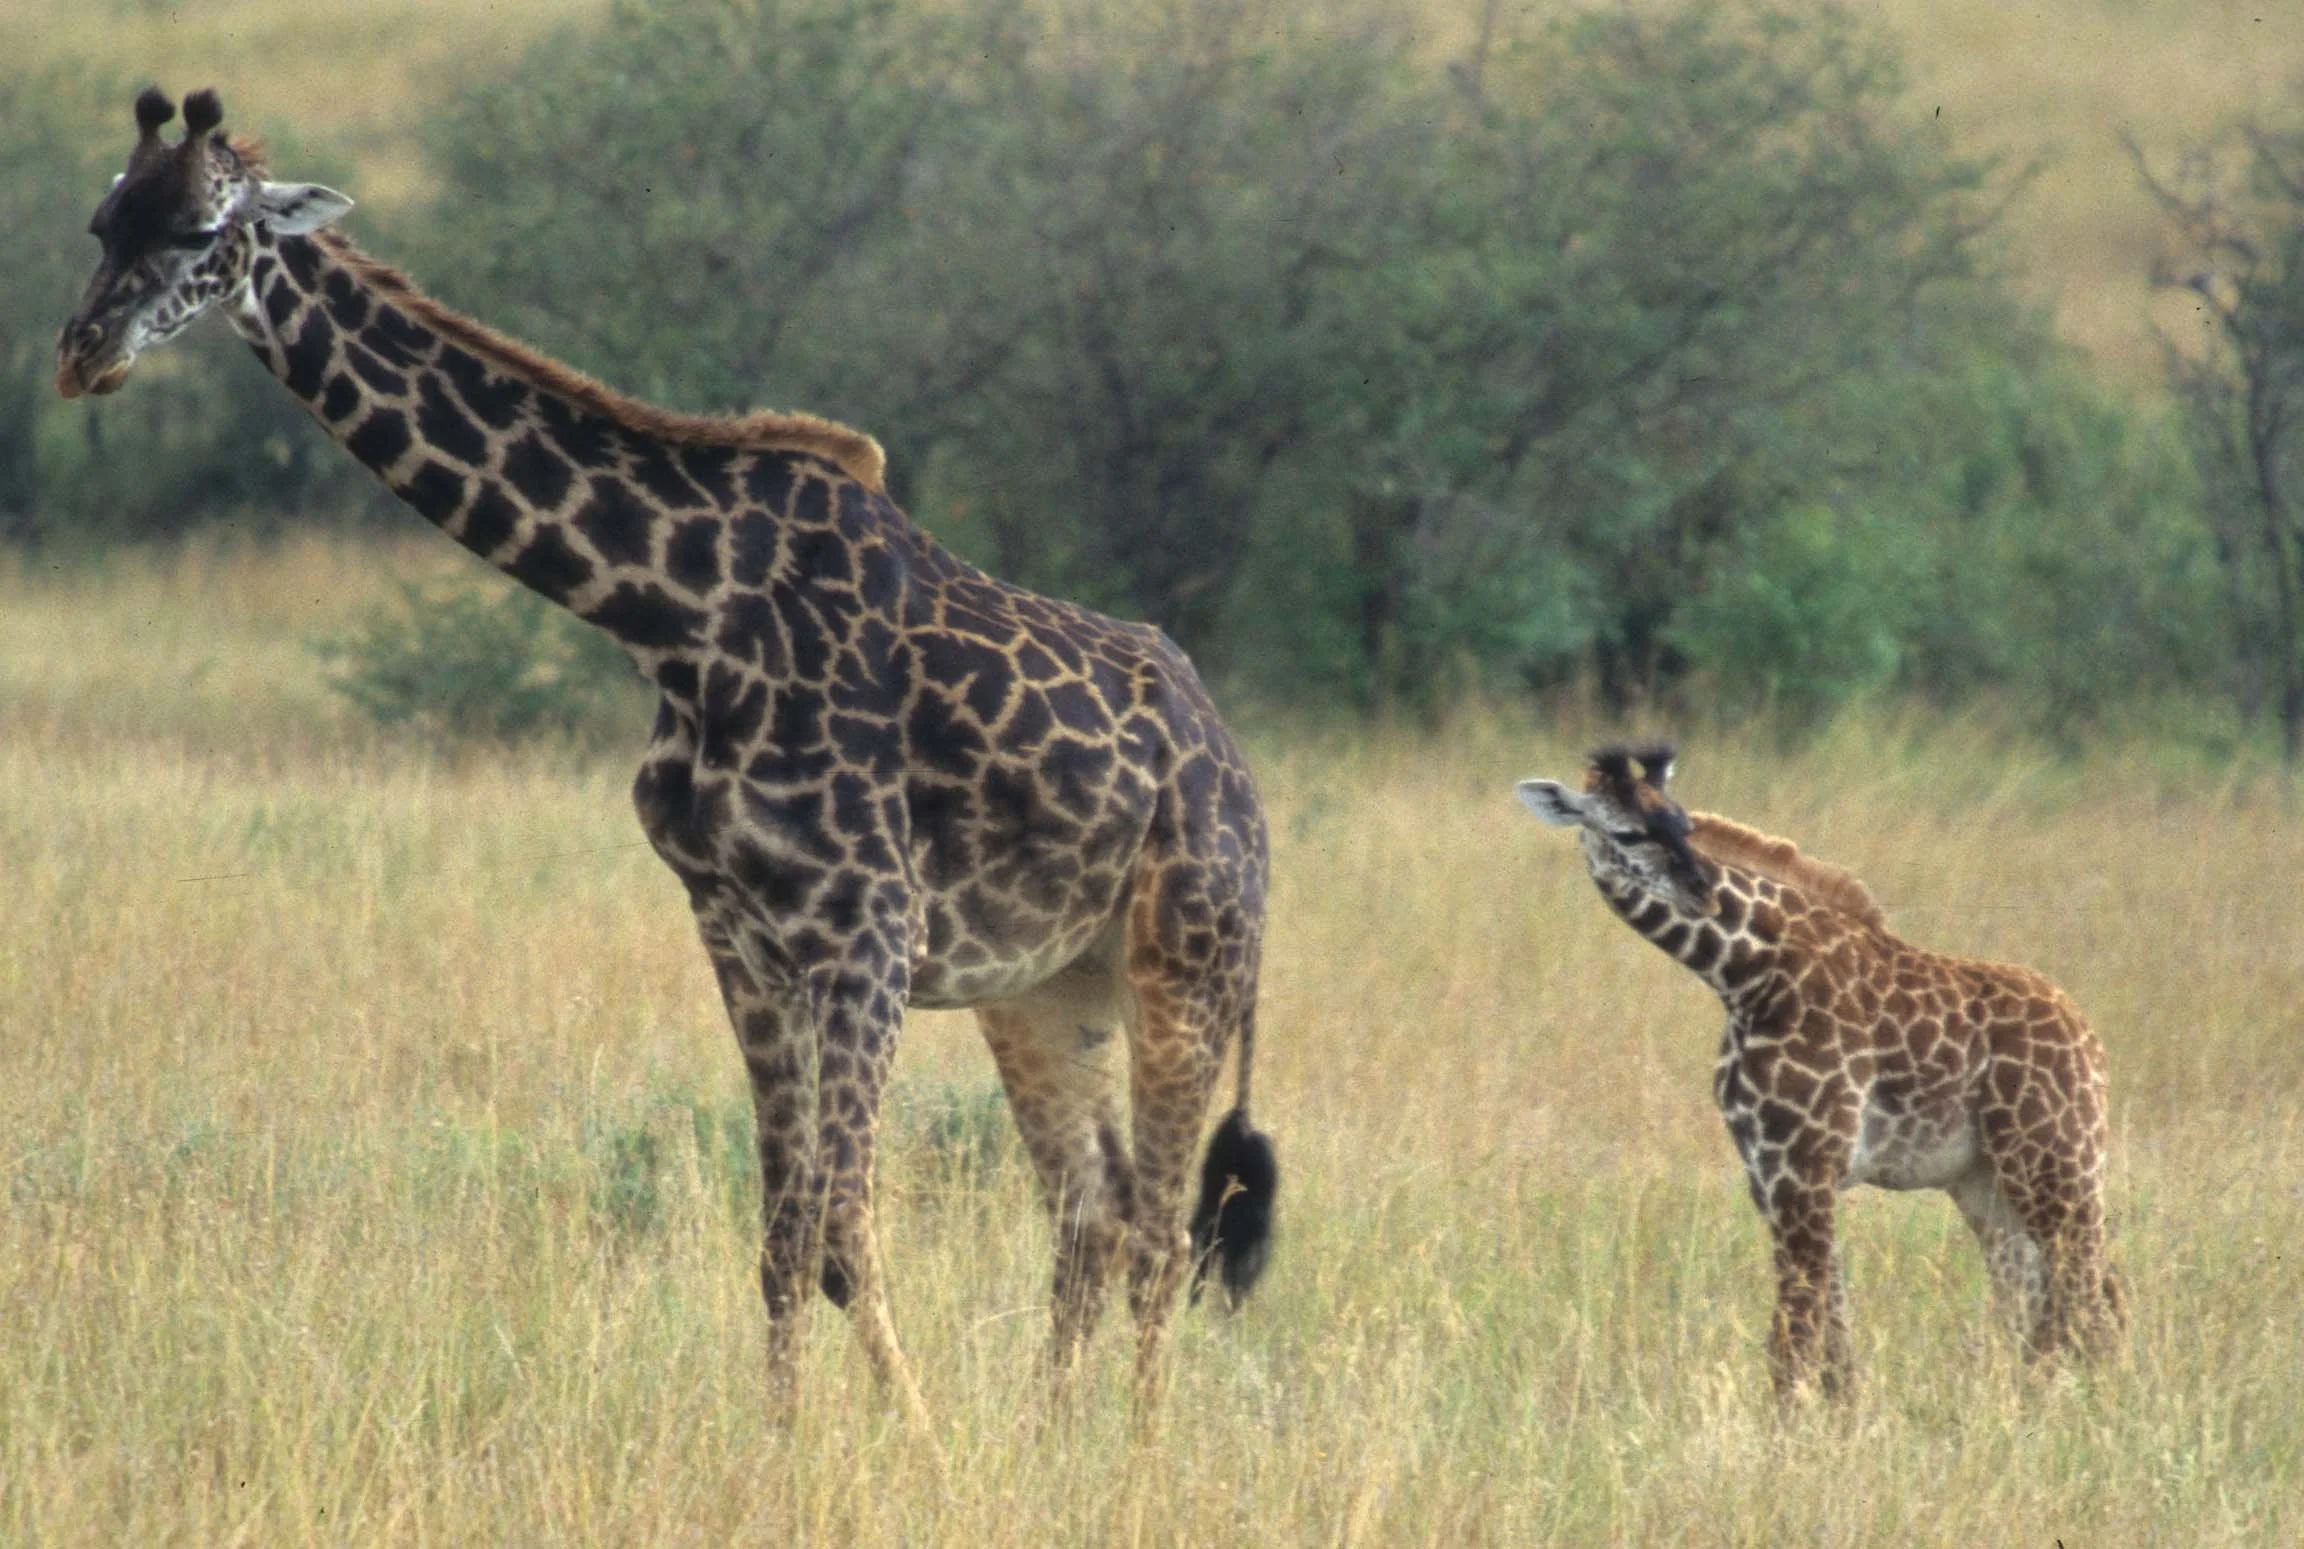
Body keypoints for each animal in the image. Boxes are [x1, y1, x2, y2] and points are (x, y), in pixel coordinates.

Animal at [57, 86, 1280, 1422]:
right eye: (103, 221)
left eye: (203, 228)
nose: (82, 352)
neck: (677, 618)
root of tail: (1235, 773)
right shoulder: (738, 930)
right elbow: (785, 1239)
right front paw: (788, 1442)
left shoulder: (869, 931)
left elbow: (843, 1229)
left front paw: (917, 1439)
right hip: (1047, 990)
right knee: (1091, 1215)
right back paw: (1056, 1435)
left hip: (1187, 962)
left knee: (1162, 1232)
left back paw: (1134, 1446)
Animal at [1515, 744, 2121, 1403]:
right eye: (1627, 832)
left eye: (1684, 824)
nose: (1700, 891)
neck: (1746, 977)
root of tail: (2089, 1041)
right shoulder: (1768, 1171)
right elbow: (1832, 1340)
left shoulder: (1804, 1167)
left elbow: (1793, 1339)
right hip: (1988, 1180)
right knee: (2047, 1299)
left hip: (2054, 1161)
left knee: (2094, 1297)